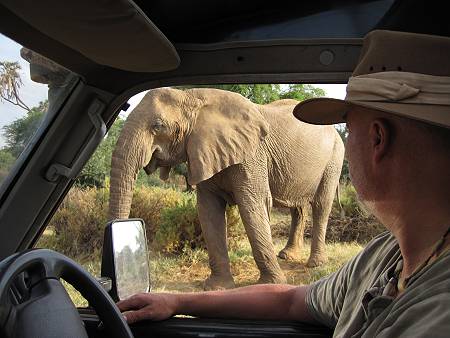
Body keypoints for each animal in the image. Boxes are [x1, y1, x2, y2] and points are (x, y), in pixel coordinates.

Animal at [109, 88, 344, 290]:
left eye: (158, 126)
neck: (192, 97)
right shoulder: (203, 150)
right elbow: (208, 211)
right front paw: (217, 287)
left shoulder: (252, 156)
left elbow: (253, 206)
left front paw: (271, 284)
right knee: (298, 208)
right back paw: (287, 256)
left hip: (335, 158)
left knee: (321, 205)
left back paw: (315, 264)